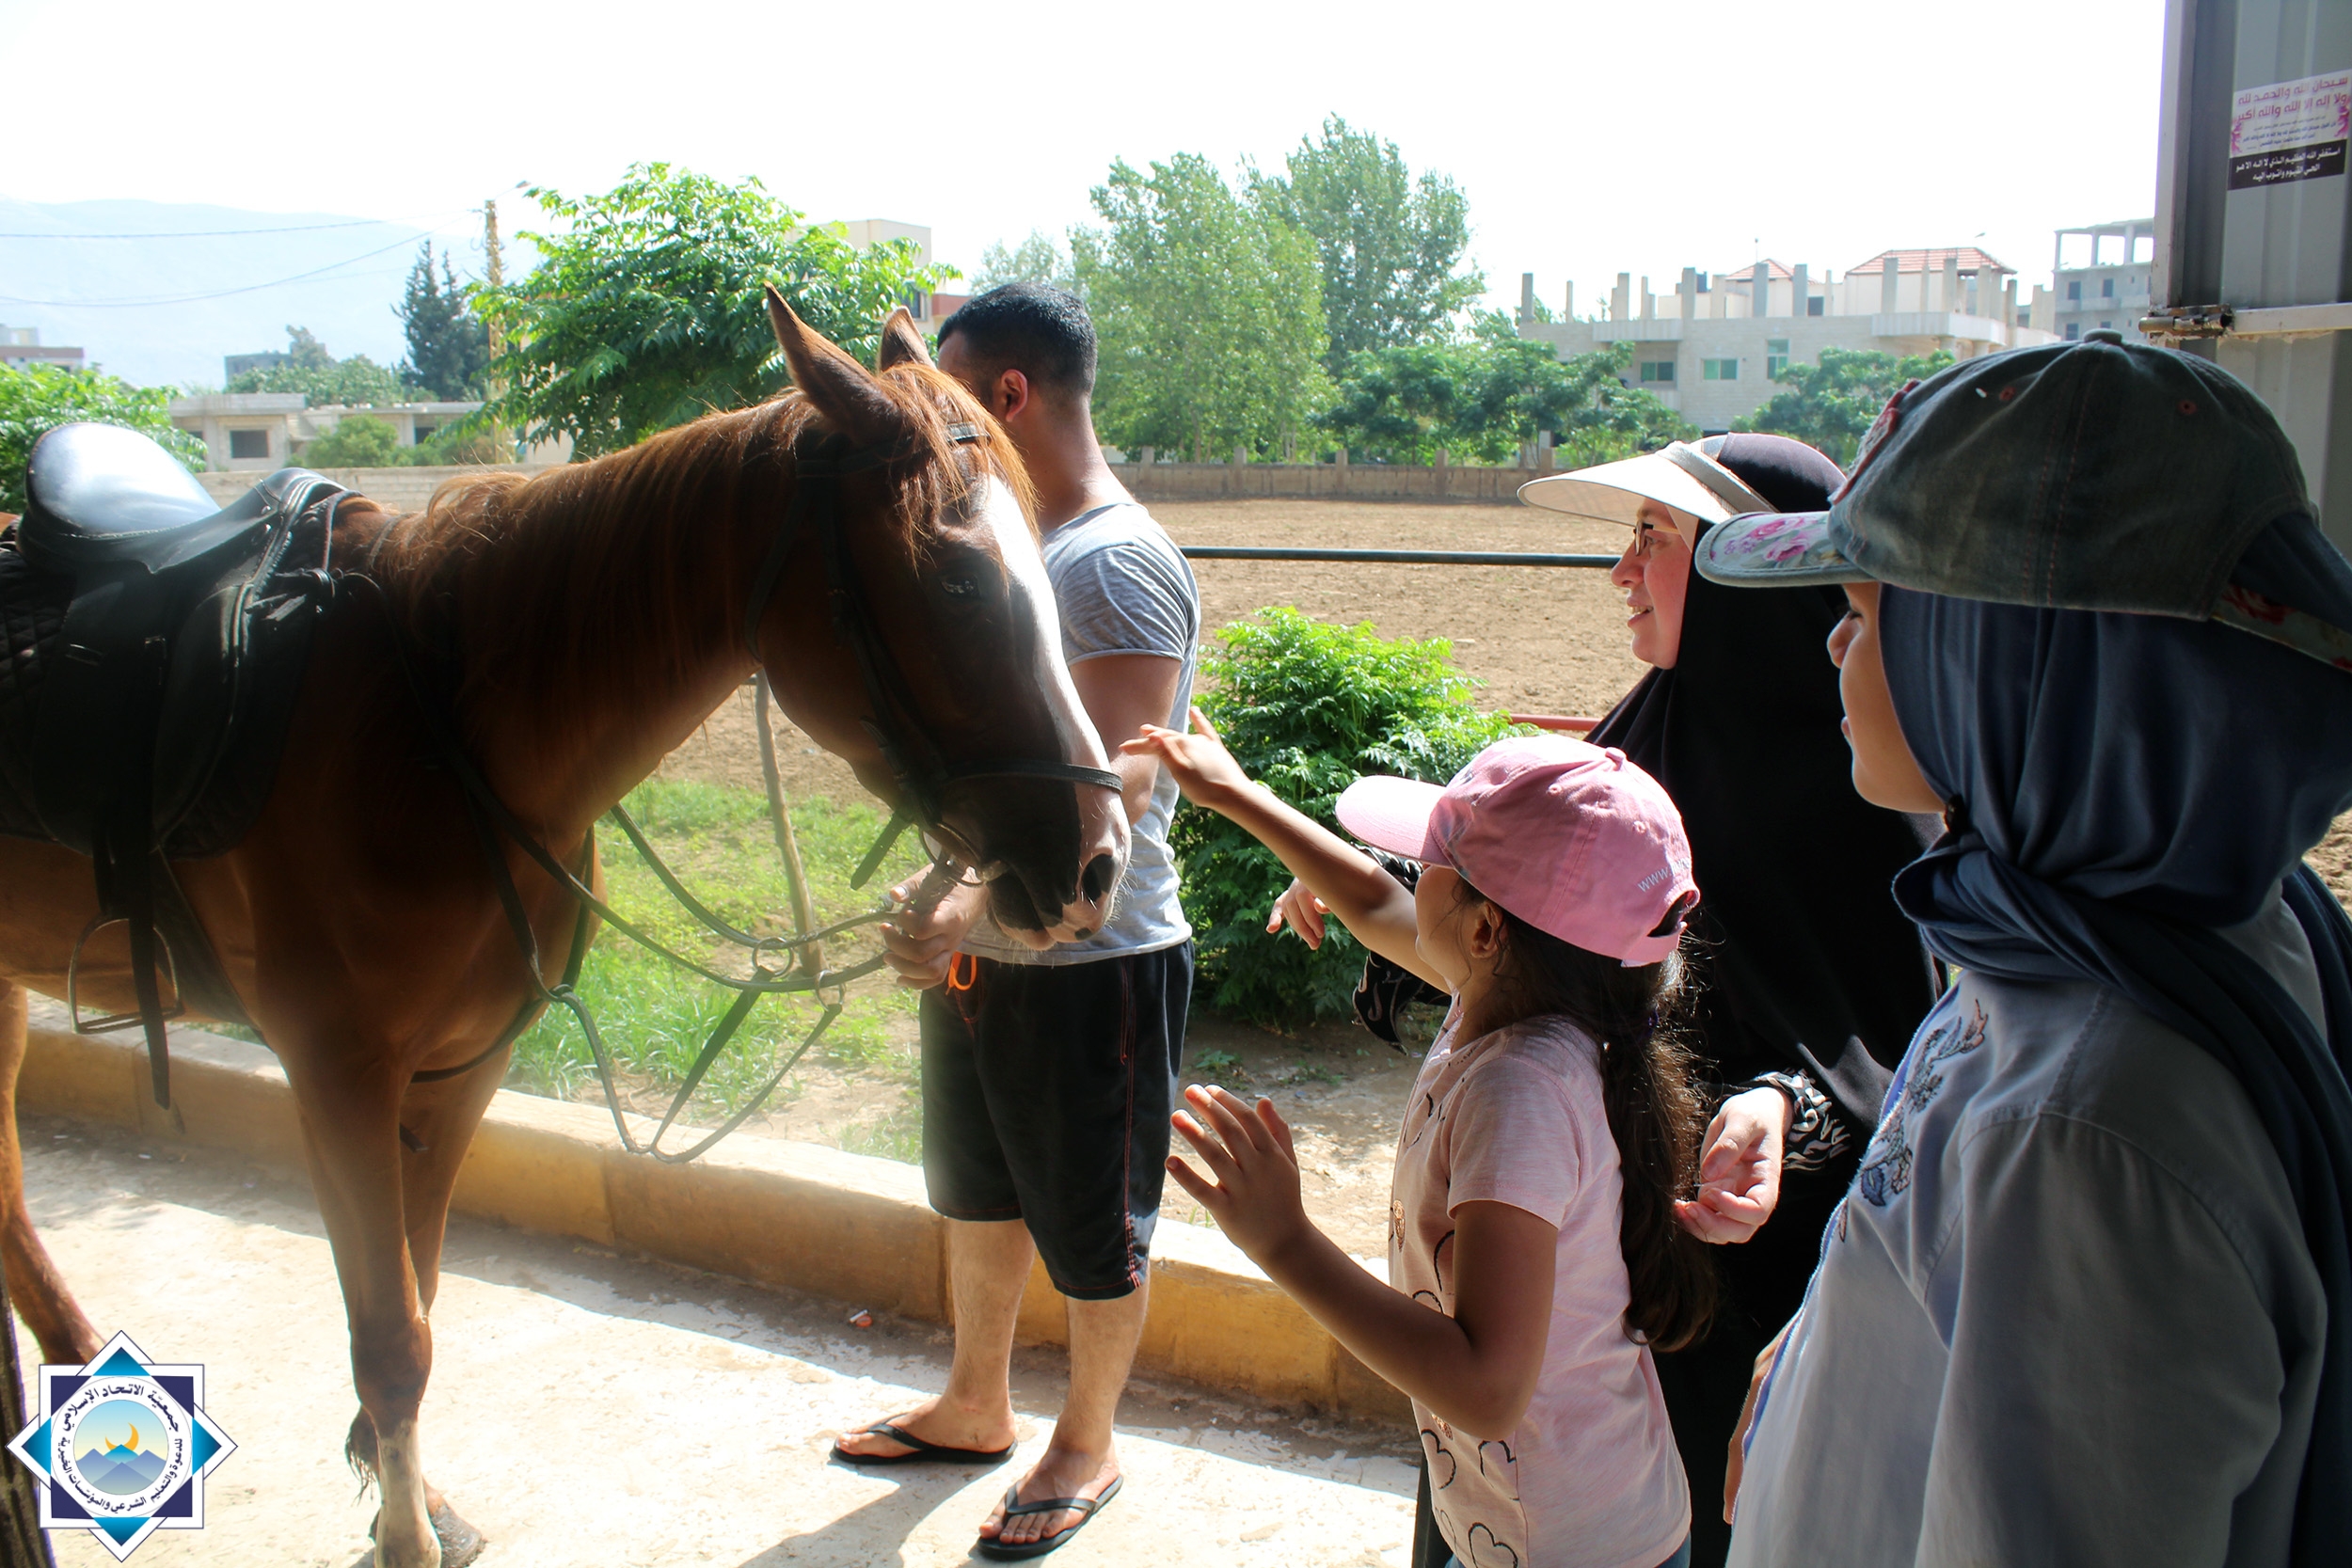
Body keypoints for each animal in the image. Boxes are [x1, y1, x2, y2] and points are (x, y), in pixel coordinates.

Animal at [0, 296, 1129, 1568]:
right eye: (958, 584)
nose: (1096, 861)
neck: (431, 737)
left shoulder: (459, 1068)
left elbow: (419, 1301)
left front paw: (413, 1500)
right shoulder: (337, 1074)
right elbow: (389, 1333)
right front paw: (405, 1533)